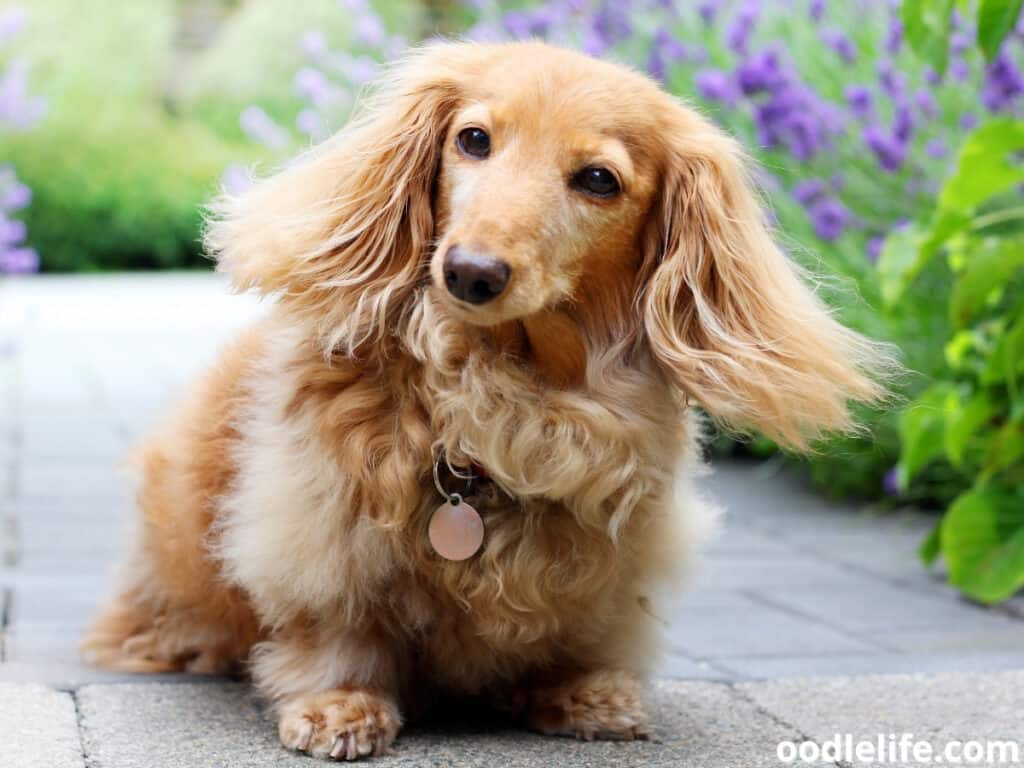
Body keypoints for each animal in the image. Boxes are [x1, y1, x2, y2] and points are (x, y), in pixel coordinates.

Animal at [83, 43, 888, 765]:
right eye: (474, 139)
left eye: (599, 180)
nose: (470, 272)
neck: (507, 388)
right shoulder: (317, 518)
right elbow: (337, 622)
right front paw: (339, 703)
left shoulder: (614, 546)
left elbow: (581, 624)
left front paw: (578, 690)